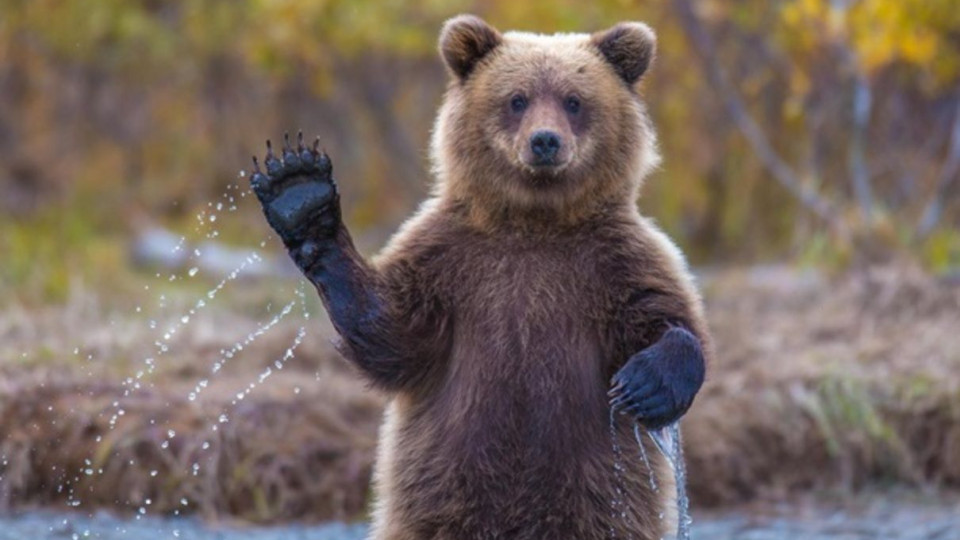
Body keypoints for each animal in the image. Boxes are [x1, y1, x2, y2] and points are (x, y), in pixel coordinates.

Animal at [248, 14, 712, 536]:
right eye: (517, 99)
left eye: (574, 100)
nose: (545, 141)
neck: (534, 221)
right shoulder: (450, 260)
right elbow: (393, 333)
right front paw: (300, 192)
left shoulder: (615, 260)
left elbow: (665, 315)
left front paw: (645, 385)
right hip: (441, 492)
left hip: (600, 496)